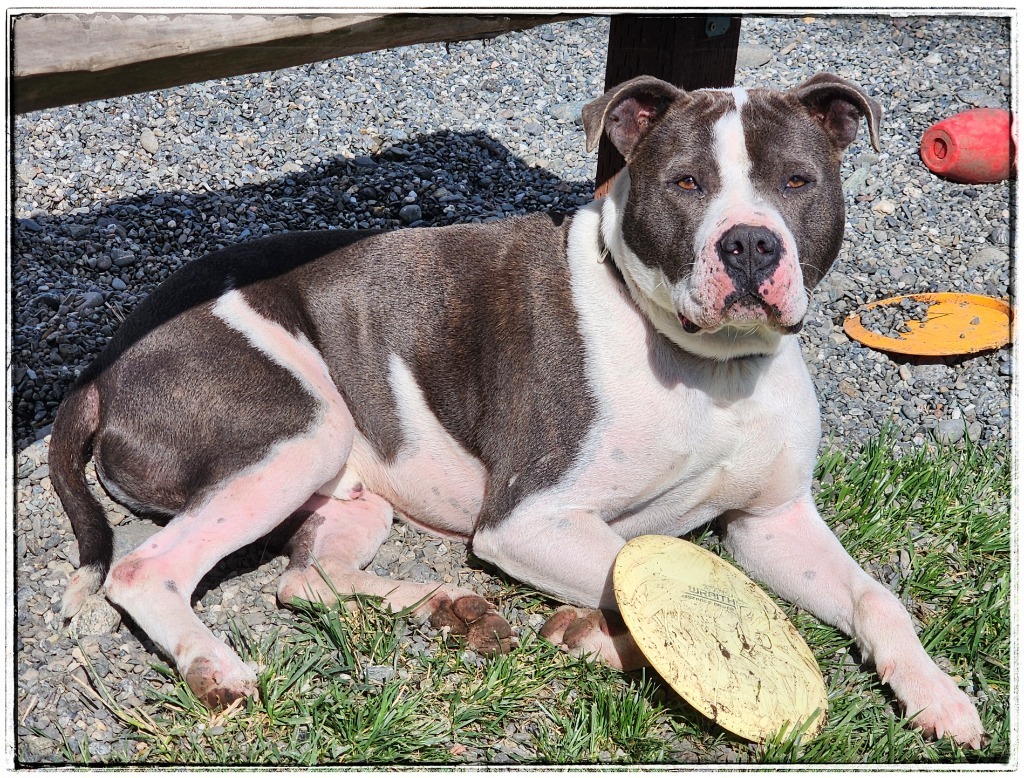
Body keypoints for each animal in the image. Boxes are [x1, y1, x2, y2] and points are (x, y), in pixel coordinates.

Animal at [48, 74, 983, 749]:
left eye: (798, 181)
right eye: (686, 183)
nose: (749, 242)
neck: (706, 367)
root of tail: (104, 364)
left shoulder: (772, 522)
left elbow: (877, 599)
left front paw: (938, 693)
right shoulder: (530, 518)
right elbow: (640, 575)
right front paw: (612, 637)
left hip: (353, 489)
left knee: (305, 578)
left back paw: (442, 607)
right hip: (295, 432)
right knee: (148, 570)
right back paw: (216, 666)